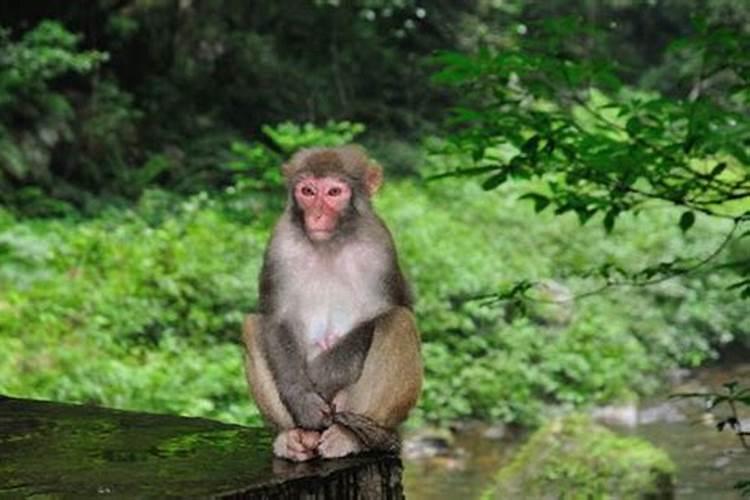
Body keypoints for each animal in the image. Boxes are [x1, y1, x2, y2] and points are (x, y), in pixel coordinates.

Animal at [245, 144, 426, 460]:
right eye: (307, 191)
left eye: (333, 192)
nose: (316, 216)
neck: (330, 243)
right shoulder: (280, 243)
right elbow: (275, 319)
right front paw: (302, 398)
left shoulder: (380, 246)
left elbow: (386, 315)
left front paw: (322, 379)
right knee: (252, 325)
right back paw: (292, 437)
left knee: (399, 322)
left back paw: (356, 438)